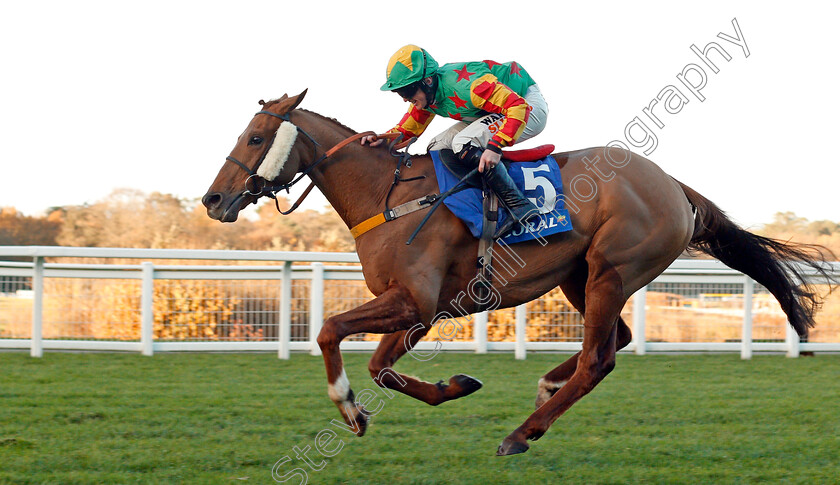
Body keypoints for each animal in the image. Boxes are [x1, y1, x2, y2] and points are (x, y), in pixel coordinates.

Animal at [202, 90, 832, 454]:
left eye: (255, 138)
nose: (213, 200)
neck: (387, 196)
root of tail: (674, 186)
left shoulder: (417, 301)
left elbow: (331, 330)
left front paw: (349, 408)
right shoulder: (420, 310)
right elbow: (381, 369)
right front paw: (452, 386)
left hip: (611, 269)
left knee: (600, 357)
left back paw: (522, 433)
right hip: (580, 275)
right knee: (617, 341)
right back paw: (547, 388)